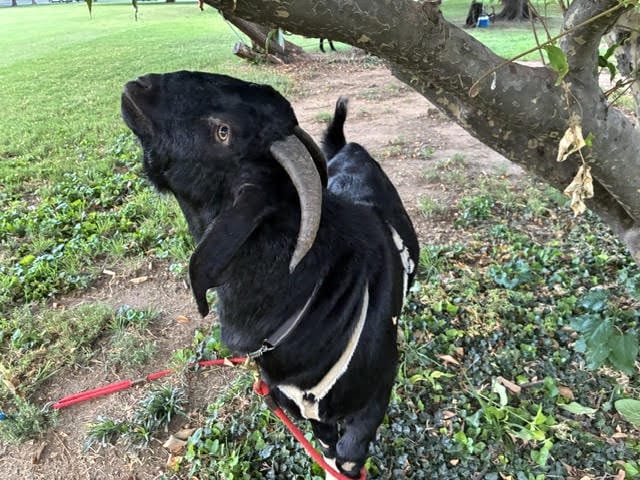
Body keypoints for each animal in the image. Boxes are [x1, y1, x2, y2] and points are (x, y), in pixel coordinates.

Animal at [121, 71, 419, 479]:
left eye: (223, 131)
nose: (140, 85)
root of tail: (350, 147)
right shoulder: (303, 408)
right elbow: (327, 447)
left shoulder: (377, 391)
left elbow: (349, 454)